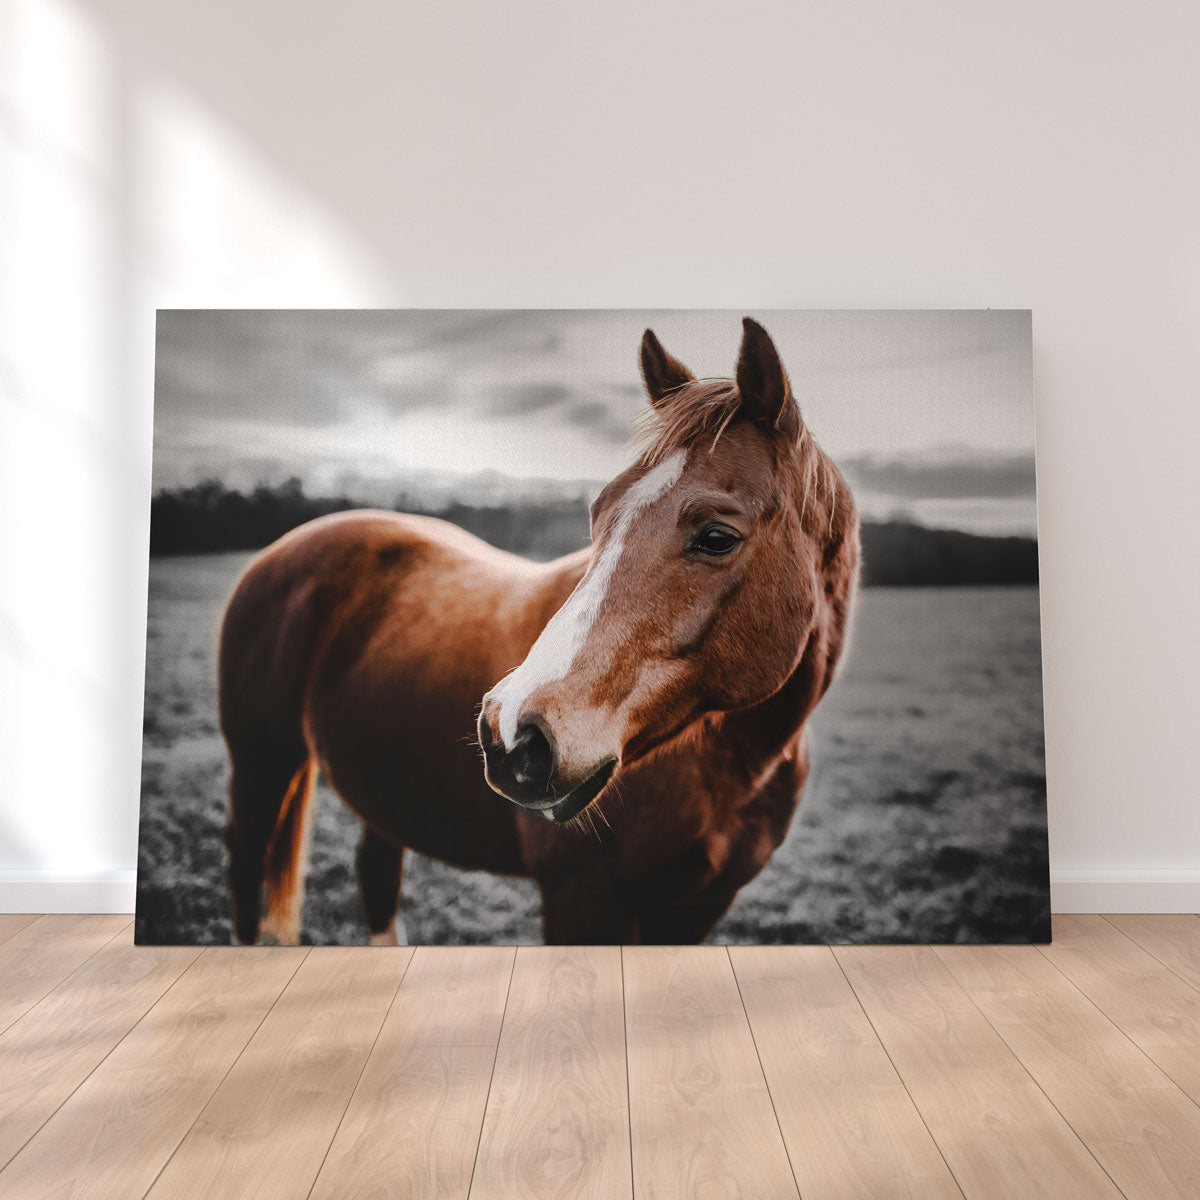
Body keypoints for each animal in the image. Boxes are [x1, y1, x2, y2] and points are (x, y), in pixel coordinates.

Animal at [219, 317, 859, 946]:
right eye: (598, 513)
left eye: (718, 536)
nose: (509, 736)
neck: (733, 765)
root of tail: (278, 553)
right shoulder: (580, 899)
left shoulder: (695, 911)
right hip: (260, 763)